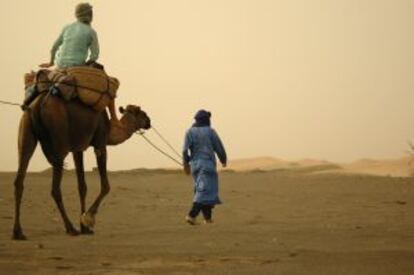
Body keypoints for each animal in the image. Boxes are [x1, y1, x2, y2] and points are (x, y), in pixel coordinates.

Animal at [11, 91, 152, 240]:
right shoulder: (100, 143)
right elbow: (106, 186)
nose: (149, 122)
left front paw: (84, 227)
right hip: (59, 137)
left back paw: (18, 232)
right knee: (55, 188)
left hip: (26, 128)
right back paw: (70, 228)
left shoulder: (77, 148)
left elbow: (82, 187)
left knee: (20, 177)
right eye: (142, 113)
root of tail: (38, 104)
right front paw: (88, 219)